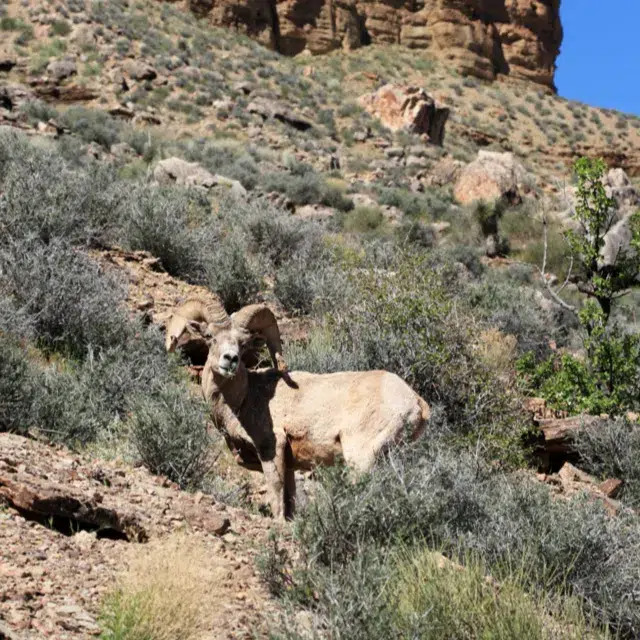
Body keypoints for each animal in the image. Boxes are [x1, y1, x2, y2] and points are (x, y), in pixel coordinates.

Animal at [168, 300, 430, 520]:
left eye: (243, 343)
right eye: (209, 336)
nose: (230, 359)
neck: (243, 399)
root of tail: (416, 402)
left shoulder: (271, 450)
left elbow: (276, 495)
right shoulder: (290, 465)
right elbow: (290, 500)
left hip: (361, 457)